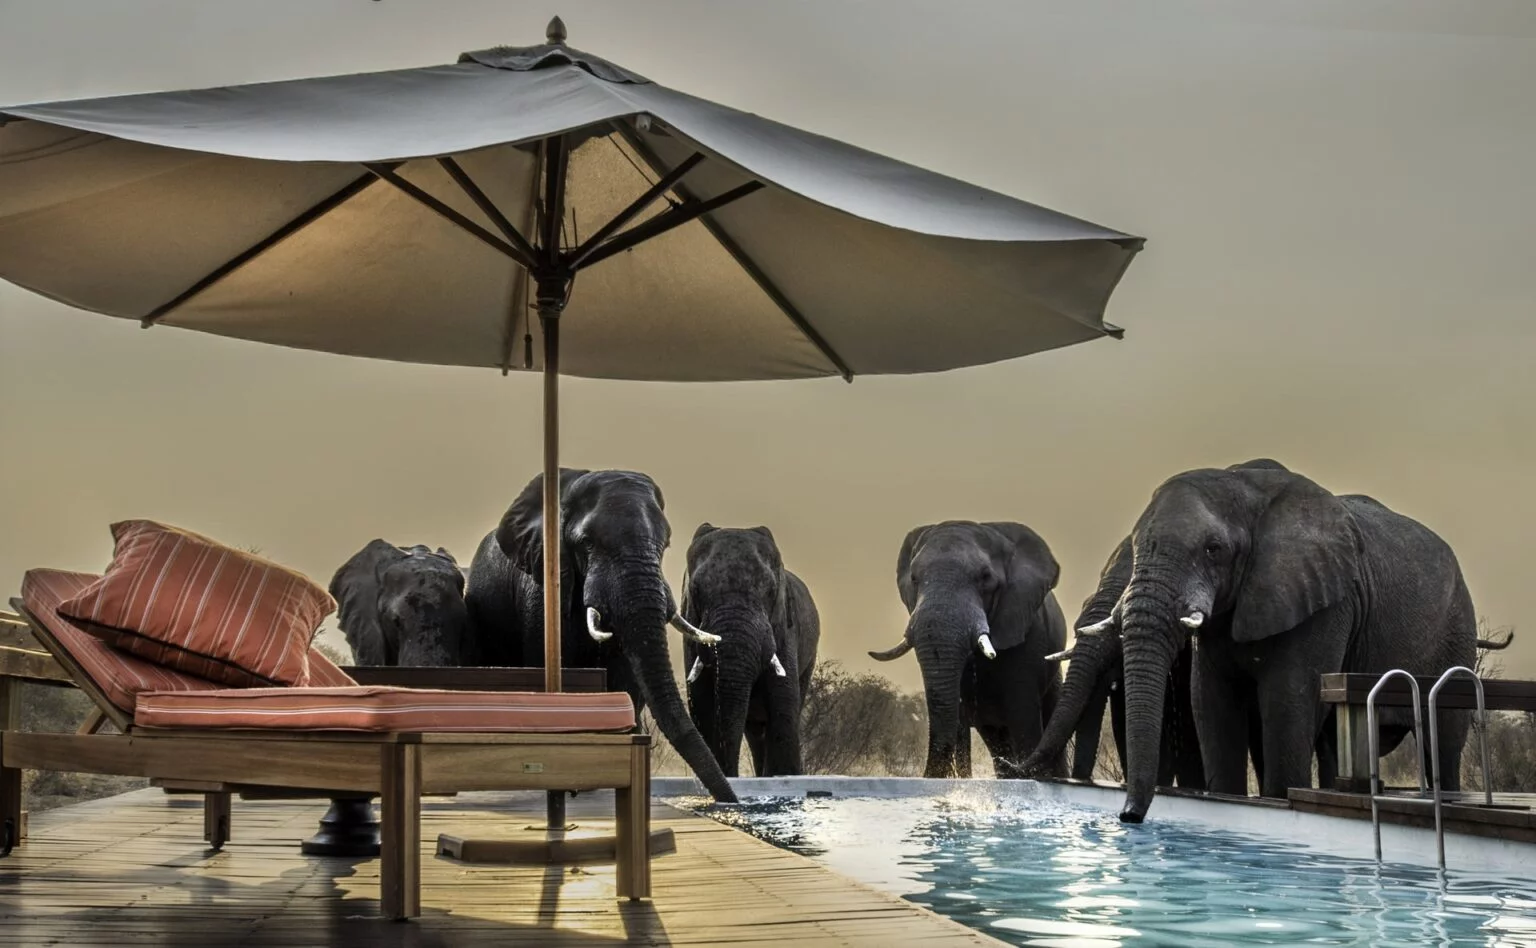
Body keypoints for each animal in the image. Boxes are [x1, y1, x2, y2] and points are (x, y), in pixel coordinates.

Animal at [681, 524, 821, 777]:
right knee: (755, 730)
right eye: (695, 591)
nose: (730, 774)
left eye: (771, 591)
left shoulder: (784, 629)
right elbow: (701, 704)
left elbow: (783, 704)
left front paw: (784, 775)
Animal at [869, 520, 1067, 779]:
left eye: (985, 577)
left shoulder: (1028, 631)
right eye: (913, 578)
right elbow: (959, 719)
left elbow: (1023, 715)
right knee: (995, 738)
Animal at [1107, 461, 1478, 823]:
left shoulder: (1325, 604)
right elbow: (1211, 701)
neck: (1241, 485)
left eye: (1213, 549)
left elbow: (1287, 701)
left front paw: (1277, 799)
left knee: (1443, 741)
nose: (1129, 816)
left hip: (1456, 630)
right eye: (1137, 548)